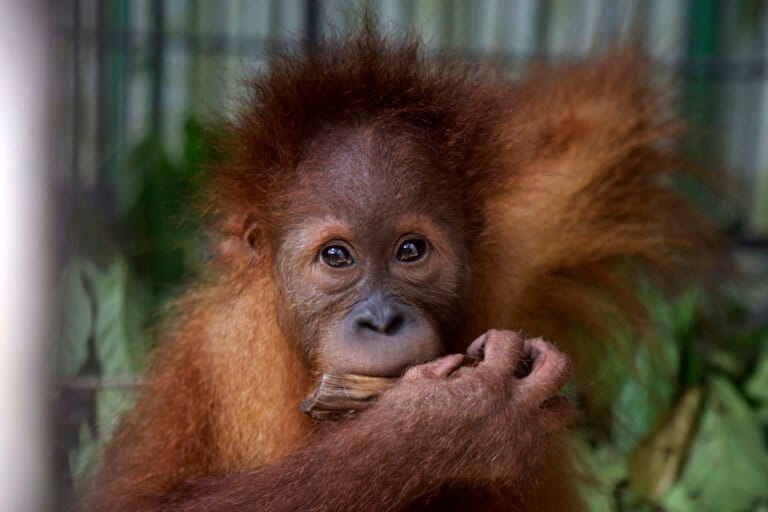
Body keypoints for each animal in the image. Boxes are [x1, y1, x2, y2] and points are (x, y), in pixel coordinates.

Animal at [83, 21, 704, 512]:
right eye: (336, 256)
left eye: (411, 251)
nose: (381, 321)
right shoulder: (210, 351)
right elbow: (143, 502)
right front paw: (451, 421)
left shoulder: (525, 240)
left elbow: (603, 124)